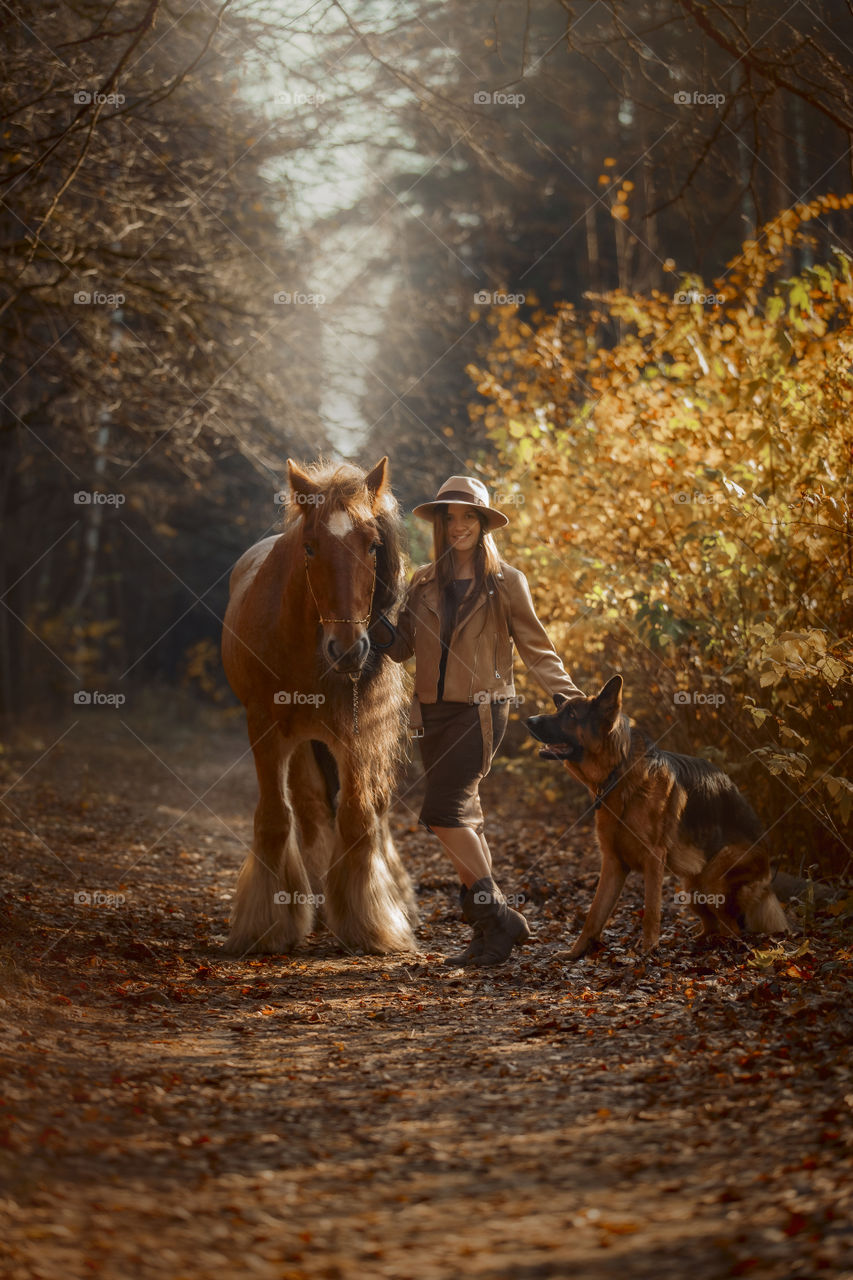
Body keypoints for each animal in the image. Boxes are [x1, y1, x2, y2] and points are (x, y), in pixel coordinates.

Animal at [220, 458, 417, 952]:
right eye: (310, 547)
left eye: (373, 545)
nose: (347, 650)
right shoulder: (265, 729)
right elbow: (275, 818)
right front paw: (266, 924)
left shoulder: (356, 735)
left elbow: (359, 817)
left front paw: (370, 921)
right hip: (303, 744)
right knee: (309, 810)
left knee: (371, 809)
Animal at [525, 675, 788, 957]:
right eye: (560, 710)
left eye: (572, 714)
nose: (529, 720)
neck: (620, 773)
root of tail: (768, 875)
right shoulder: (613, 863)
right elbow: (594, 914)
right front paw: (576, 952)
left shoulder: (653, 858)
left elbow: (651, 909)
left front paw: (648, 949)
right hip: (691, 886)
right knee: (714, 924)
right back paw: (695, 940)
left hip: (712, 879)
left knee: (733, 928)